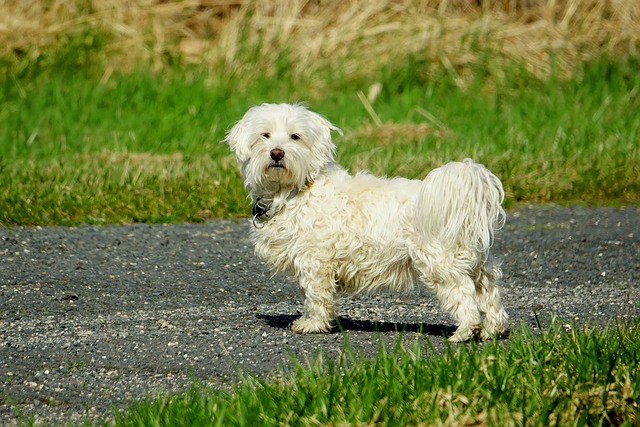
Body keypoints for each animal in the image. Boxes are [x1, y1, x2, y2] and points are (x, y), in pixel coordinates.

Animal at [225, 103, 510, 342]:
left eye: (295, 136)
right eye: (265, 135)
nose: (277, 153)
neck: (296, 191)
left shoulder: (315, 263)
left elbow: (315, 296)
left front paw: (311, 324)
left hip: (440, 264)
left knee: (465, 296)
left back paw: (464, 333)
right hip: (478, 264)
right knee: (489, 294)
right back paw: (491, 331)